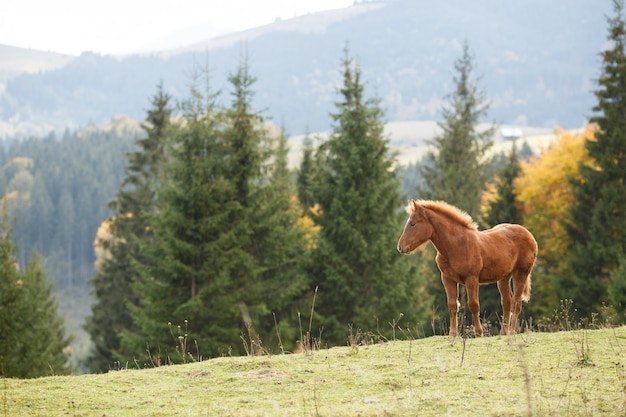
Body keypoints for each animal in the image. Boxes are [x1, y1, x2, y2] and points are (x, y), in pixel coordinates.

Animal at [394, 198, 536, 334]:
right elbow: (452, 305)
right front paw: (453, 334)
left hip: (521, 273)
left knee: (516, 303)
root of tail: (528, 233)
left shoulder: (471, 278)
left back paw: (511, 332)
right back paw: (503, 333)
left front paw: (478, 333)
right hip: (503, 277)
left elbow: (473, 305)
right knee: (507, 302)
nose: (401, 247)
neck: (456, 246)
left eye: (413, 224)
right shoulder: (447, 279)